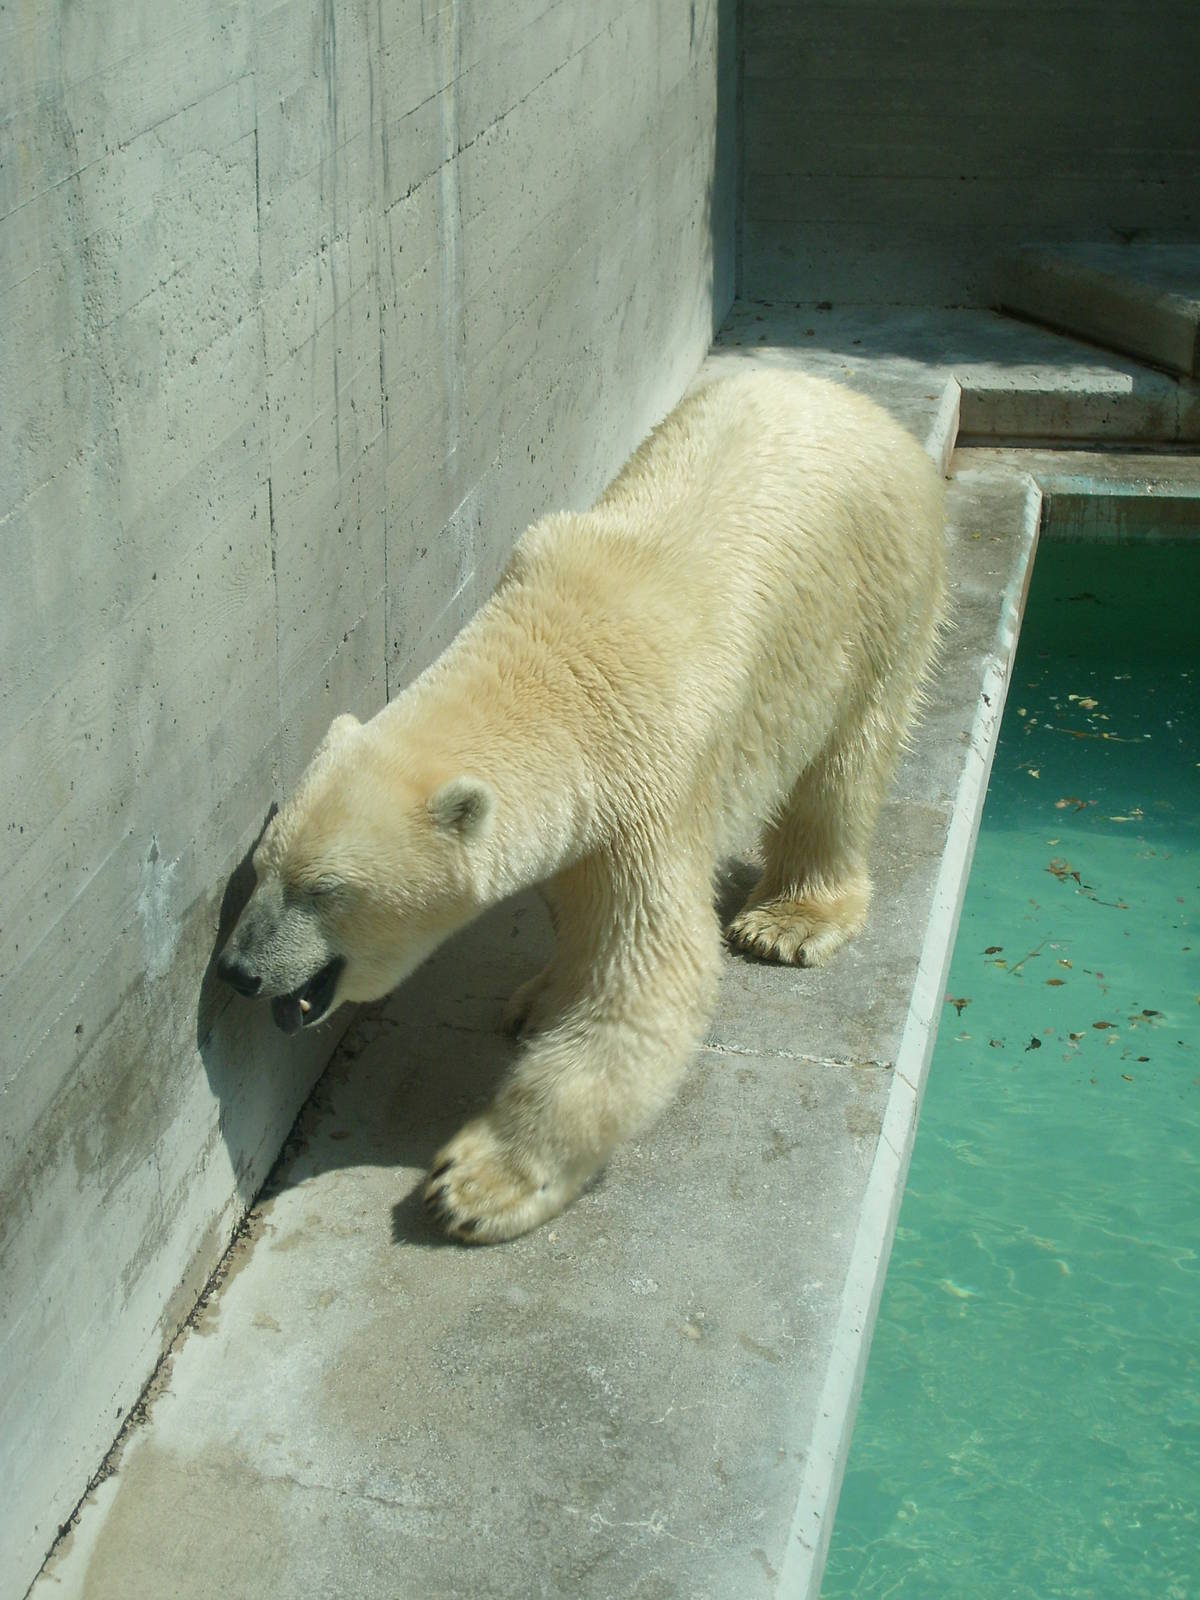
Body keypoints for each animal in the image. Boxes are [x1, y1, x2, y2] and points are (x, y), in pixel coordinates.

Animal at [217, 368, 946, 1242]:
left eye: (327, 891)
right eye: (261, 870)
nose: (237, 971)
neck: (563, 662)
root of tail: (851, 400)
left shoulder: (655, 783)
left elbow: (649, 977)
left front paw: (474, 1185)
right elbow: (575, 908)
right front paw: (542, 1001)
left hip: (876, 591)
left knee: (842, 768)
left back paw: (789, 921)